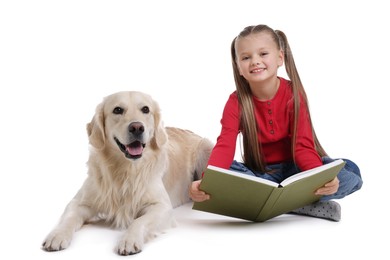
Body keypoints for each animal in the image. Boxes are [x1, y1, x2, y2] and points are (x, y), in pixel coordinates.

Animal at [40, 90, 213, 255]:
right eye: (117, 110)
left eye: (145, 109)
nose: (137, 127)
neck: (125, 169)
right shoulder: (79, 202)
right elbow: (68, 218)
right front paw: (57, 235)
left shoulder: (162, 206)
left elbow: (139, 221)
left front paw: (129, 240)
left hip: (206, 147)